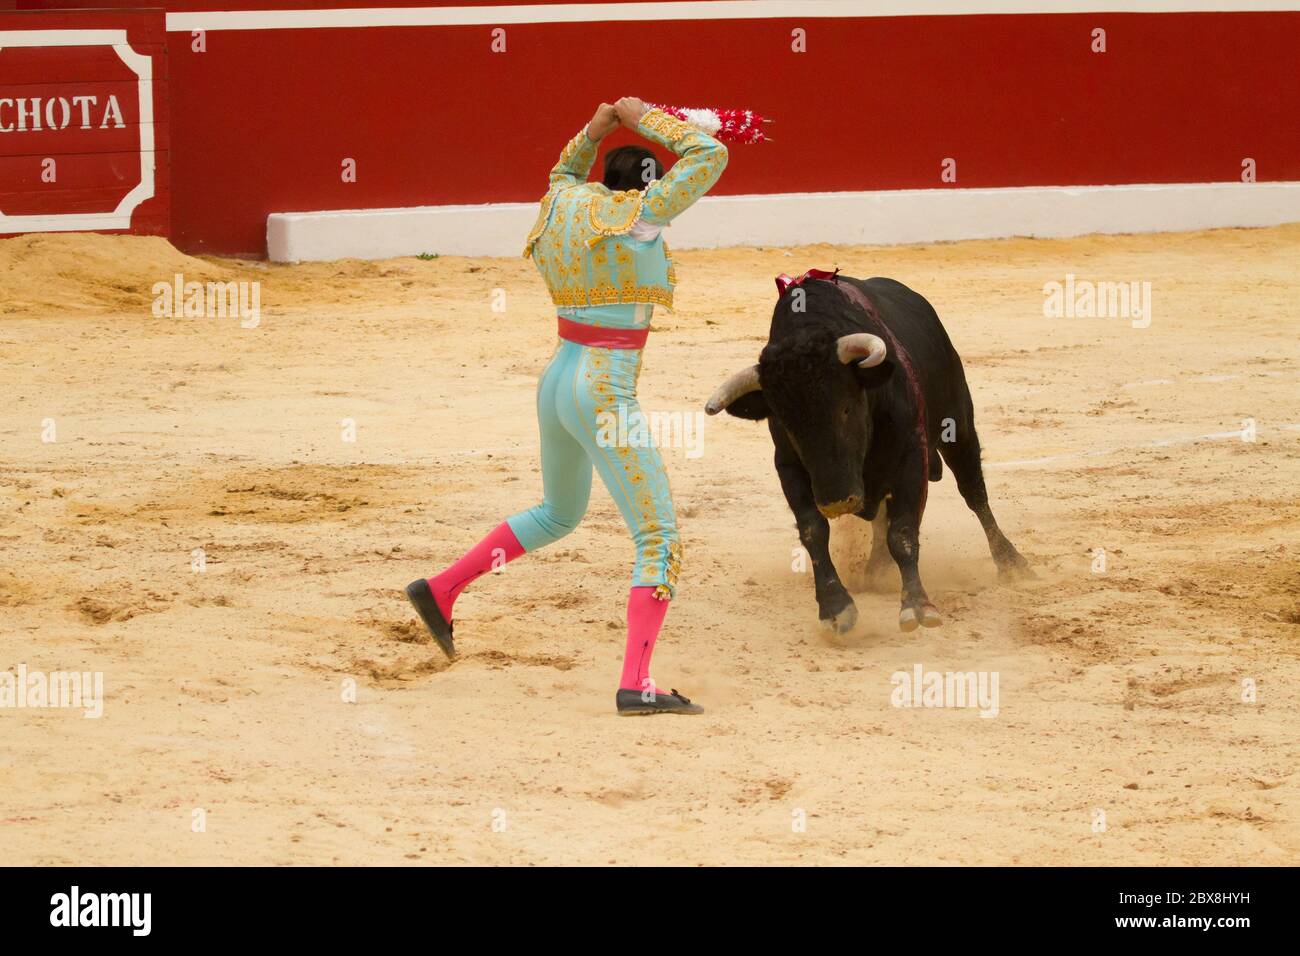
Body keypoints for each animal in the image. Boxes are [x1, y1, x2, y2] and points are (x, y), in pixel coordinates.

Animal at [707, 274, 1029, 634]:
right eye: (786, 422)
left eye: (846, 408)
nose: (836, 501)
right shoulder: (788, 468)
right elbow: (813, 530)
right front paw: (835, 607)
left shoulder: (911, 455)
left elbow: (903, 531)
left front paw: (917, 605)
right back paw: (876, 568)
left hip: (958, 425)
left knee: (974, 493)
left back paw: (1011, 563)